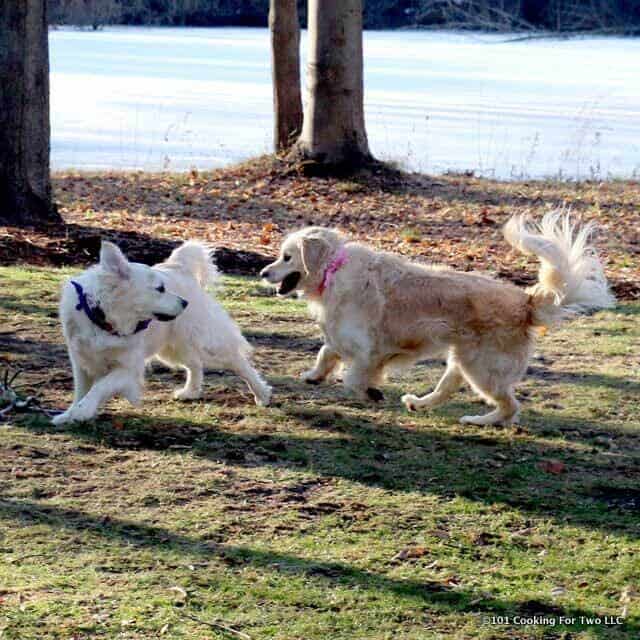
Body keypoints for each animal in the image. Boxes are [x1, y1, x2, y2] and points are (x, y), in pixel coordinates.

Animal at [53, 240, 272, 424]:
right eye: (160, 289)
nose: (184, 303)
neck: (104, 320)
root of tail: (179, 267)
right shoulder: (81, 363)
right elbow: (81, 391)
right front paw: (69, 414)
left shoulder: (128, 369)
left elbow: (100, 387)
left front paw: (83, 410)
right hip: (172, 348)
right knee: (195, 364)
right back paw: (190, 391)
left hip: (207, 342)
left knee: (239, 363)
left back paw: (262, 393)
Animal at [260, 212, 616, 428]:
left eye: (286, 257)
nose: (262, 273)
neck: (333, 268)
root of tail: (527, 302)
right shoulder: (345, 337)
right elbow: (327, 351)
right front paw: (314, 375)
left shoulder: (366, 349)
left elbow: (352, 377)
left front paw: (369, 392)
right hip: (463, 359)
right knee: (447, 389)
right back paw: (419, 403)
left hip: (482, 368)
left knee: (510, 406)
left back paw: (478, 420)